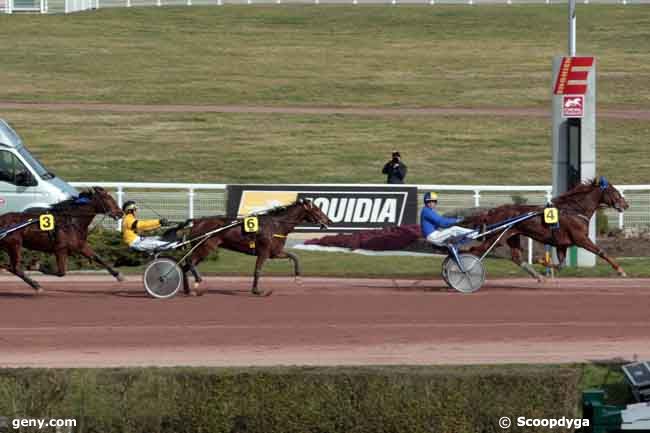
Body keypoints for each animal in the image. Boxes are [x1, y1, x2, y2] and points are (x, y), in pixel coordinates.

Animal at [173, 198, 330, 294]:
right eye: (317, 209)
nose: (329, 220)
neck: (277, 225)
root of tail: (197, 222)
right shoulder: (264, 252)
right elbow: (258, 270)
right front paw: (256, 291)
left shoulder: (275, 252)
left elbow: (294, 256)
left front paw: (298, 277)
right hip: (205, 248)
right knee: (189, 261)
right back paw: (197, 281)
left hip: (203, 249)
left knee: (185, 266)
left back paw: (188, 290)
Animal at [464, 177, 632, 278]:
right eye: (615, 191)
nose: (626, 205)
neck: (574, 210)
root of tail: (492, 211)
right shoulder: (580, 239)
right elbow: (601, 252)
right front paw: (621, 270)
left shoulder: (562, 244)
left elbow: (561, 264)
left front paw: (541, 261)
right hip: (496, 237)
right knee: (474, 251)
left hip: (512, 235)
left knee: (516, 257)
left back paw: (537, 277)